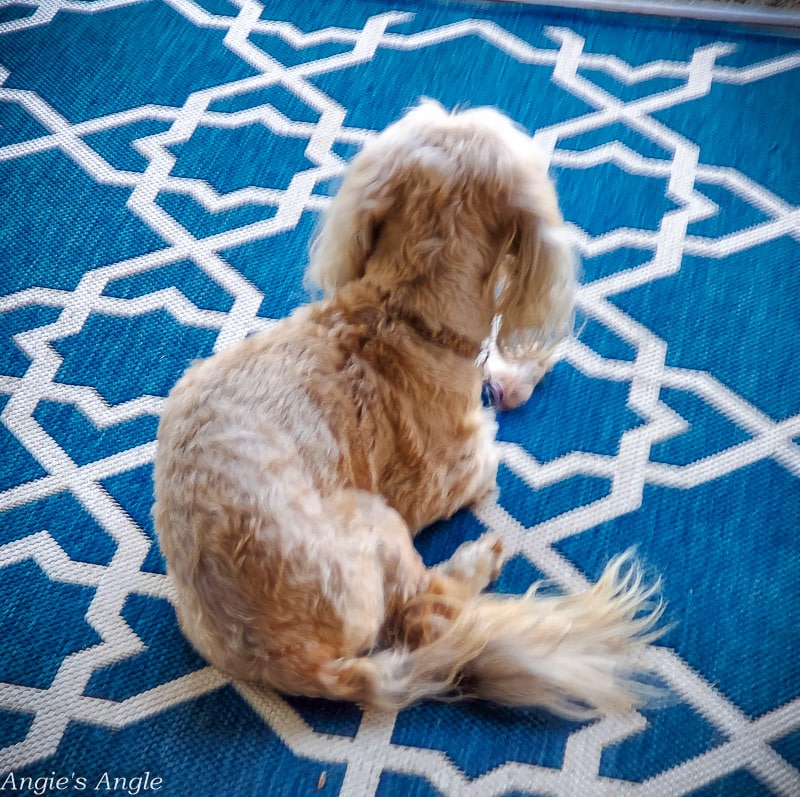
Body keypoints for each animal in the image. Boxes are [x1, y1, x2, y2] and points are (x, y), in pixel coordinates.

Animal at [152, 99, 664, 716]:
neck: (401, 312)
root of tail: (301, 664)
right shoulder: (456, 473)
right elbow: (493, 440)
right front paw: (523, 371)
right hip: (373, 519)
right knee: (423, 611)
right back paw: (475, 563)